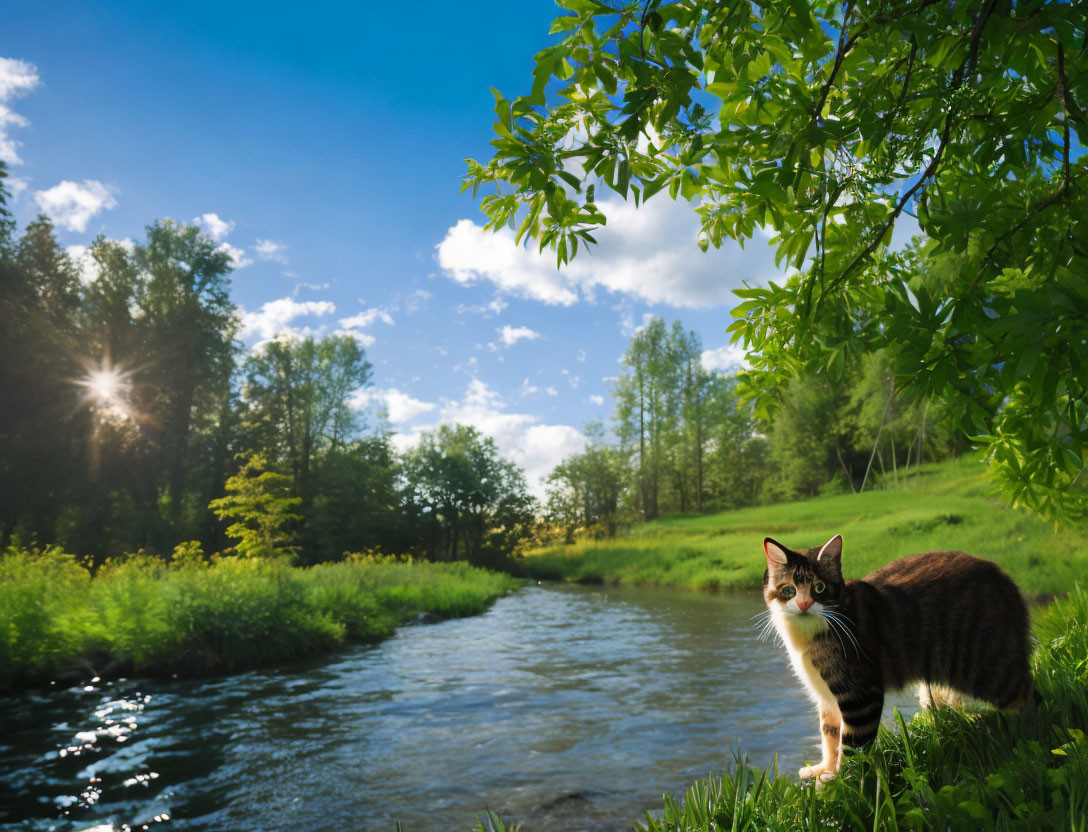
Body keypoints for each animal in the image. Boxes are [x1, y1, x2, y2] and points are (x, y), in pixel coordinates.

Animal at [761, 535, 1031, 783]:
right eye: (789, 590)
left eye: (819, 587)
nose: (805, 603)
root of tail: (1006, 580)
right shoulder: (825, 696)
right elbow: (830, 735)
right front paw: (826, 770)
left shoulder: (861, 695)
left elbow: (851, 749)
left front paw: (842, 781)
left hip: (987, 668)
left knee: (1027, 698)